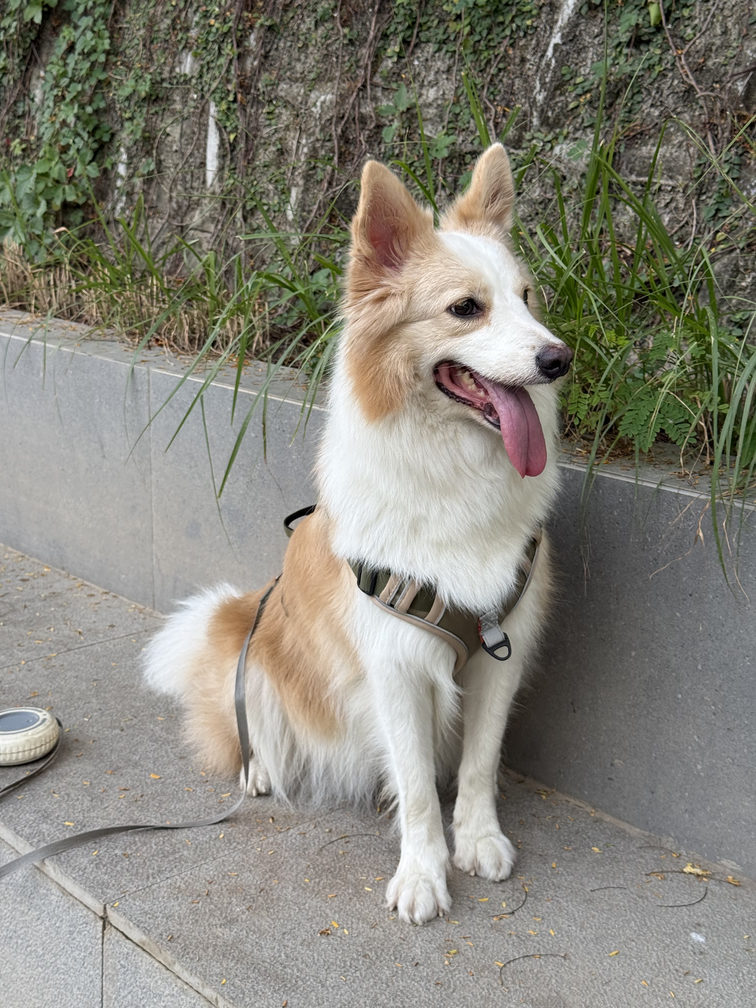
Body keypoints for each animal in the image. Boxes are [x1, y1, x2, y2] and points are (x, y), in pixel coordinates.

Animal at [143, 143, 572, 924]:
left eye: (527, 298)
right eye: (466, 308)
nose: (559, 359)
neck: (450, 476)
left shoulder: (502, 649)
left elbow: (479, 763)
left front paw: (477, 838)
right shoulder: (394, 664)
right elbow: (417, 789)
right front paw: (423, 873)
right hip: (261, 667)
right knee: (248, 732)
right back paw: (257, 770)